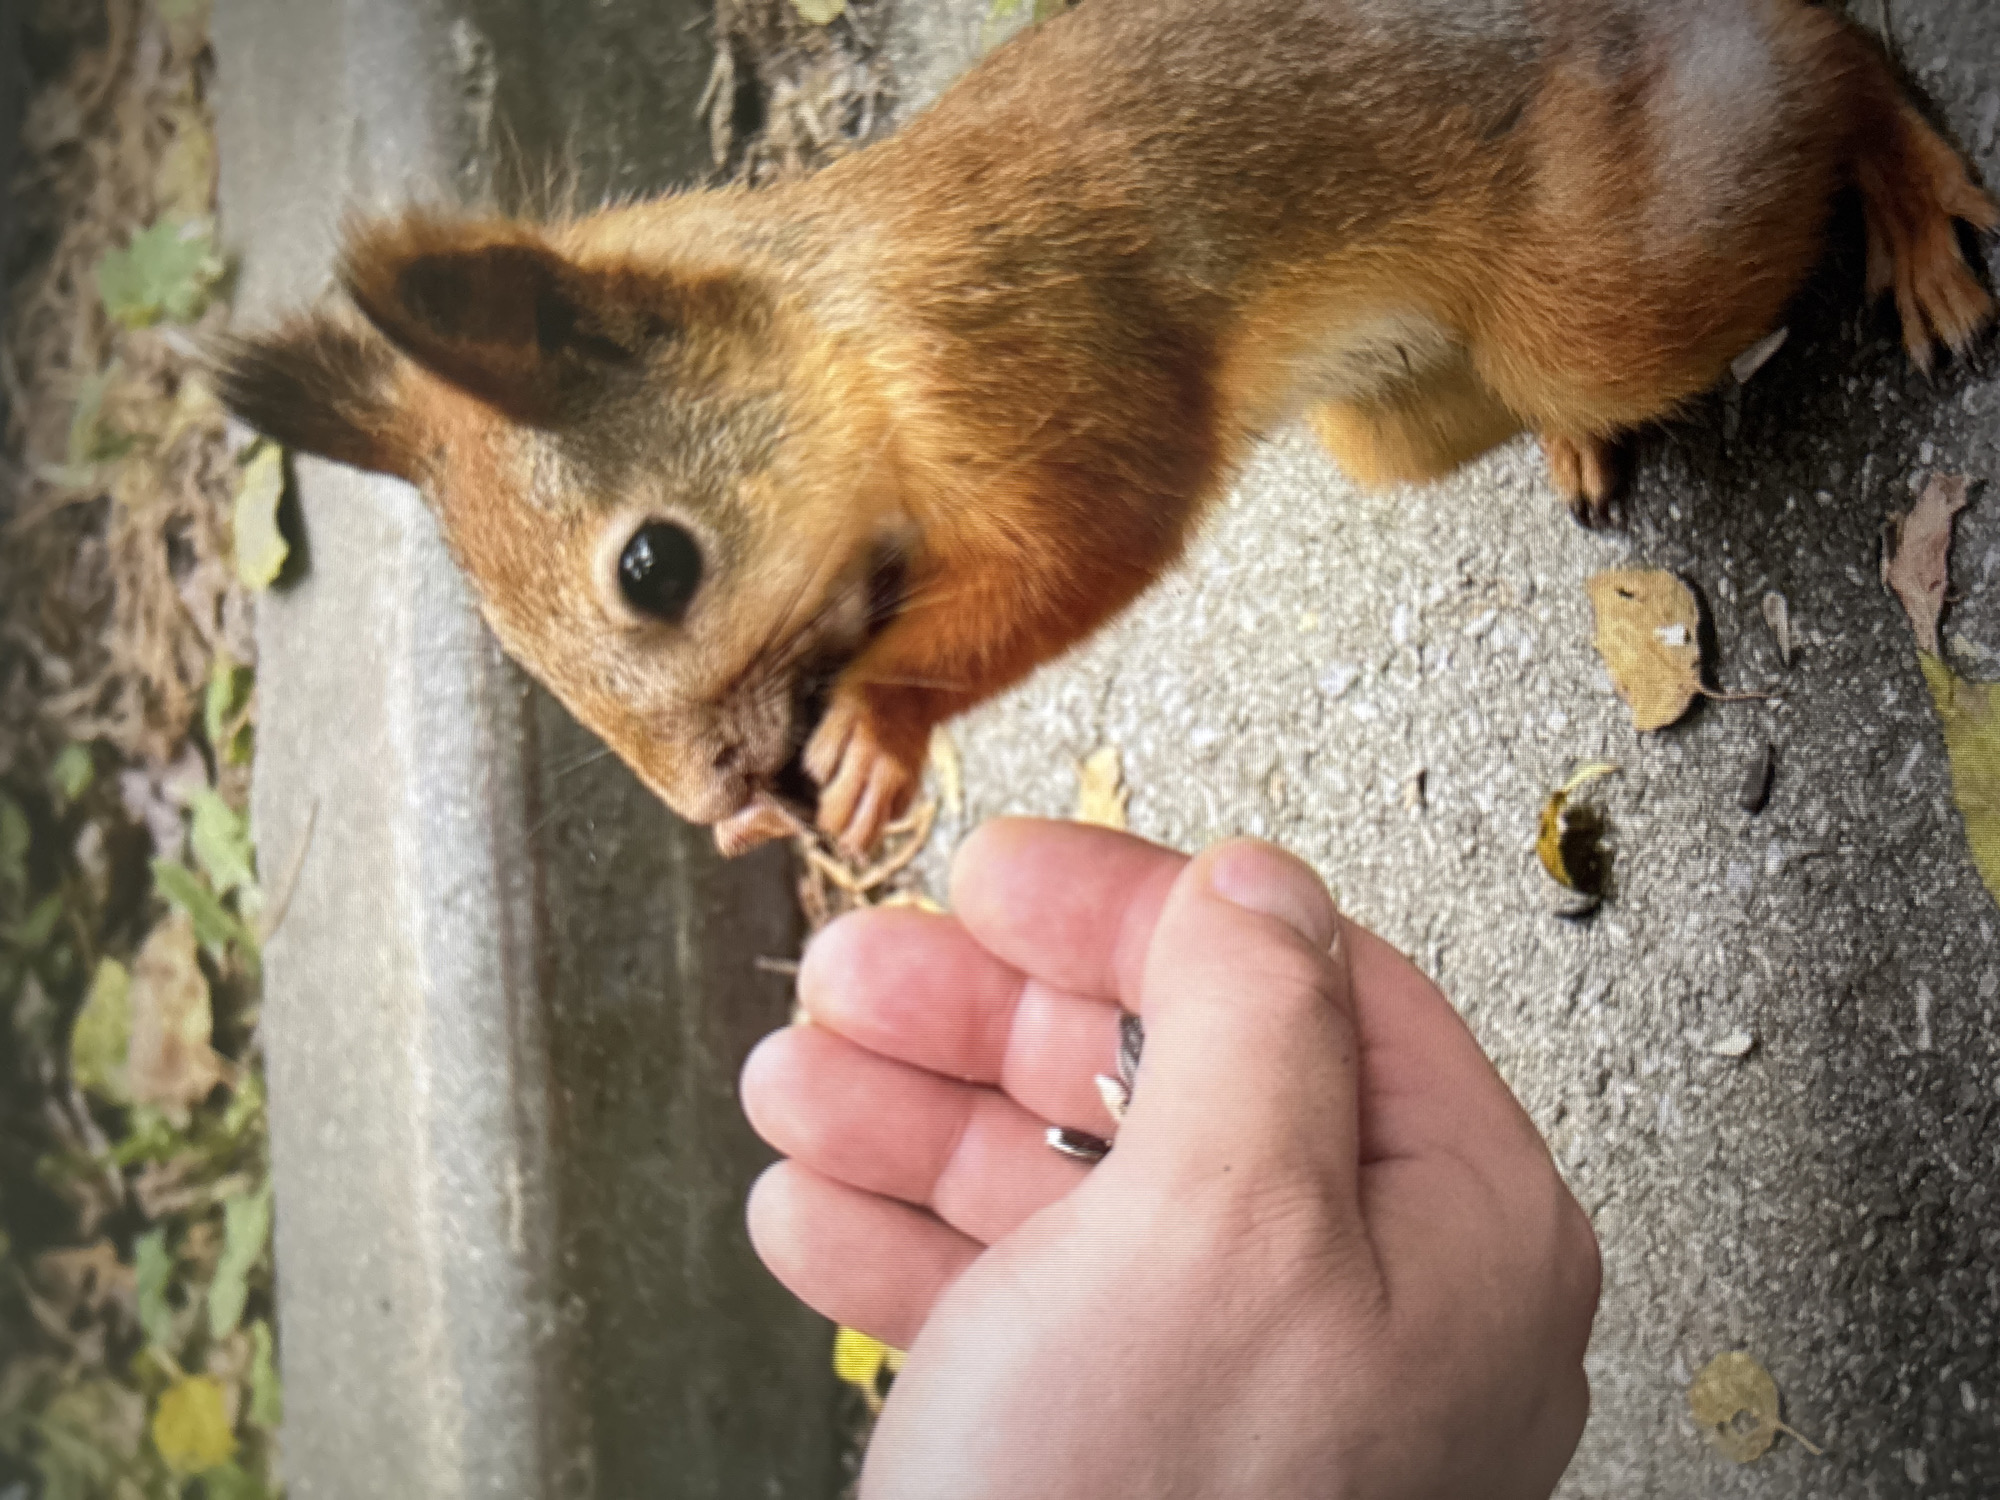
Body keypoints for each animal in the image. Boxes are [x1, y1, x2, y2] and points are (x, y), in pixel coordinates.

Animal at [217, 0, 1997, 858]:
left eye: (654, 566)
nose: (711, 805)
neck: (839, 325)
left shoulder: (1017, 353)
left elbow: (1093, 533)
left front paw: (881, 730)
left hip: (1604, 289)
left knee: (1812, 65)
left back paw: (1909, 193)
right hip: (1406, 411)